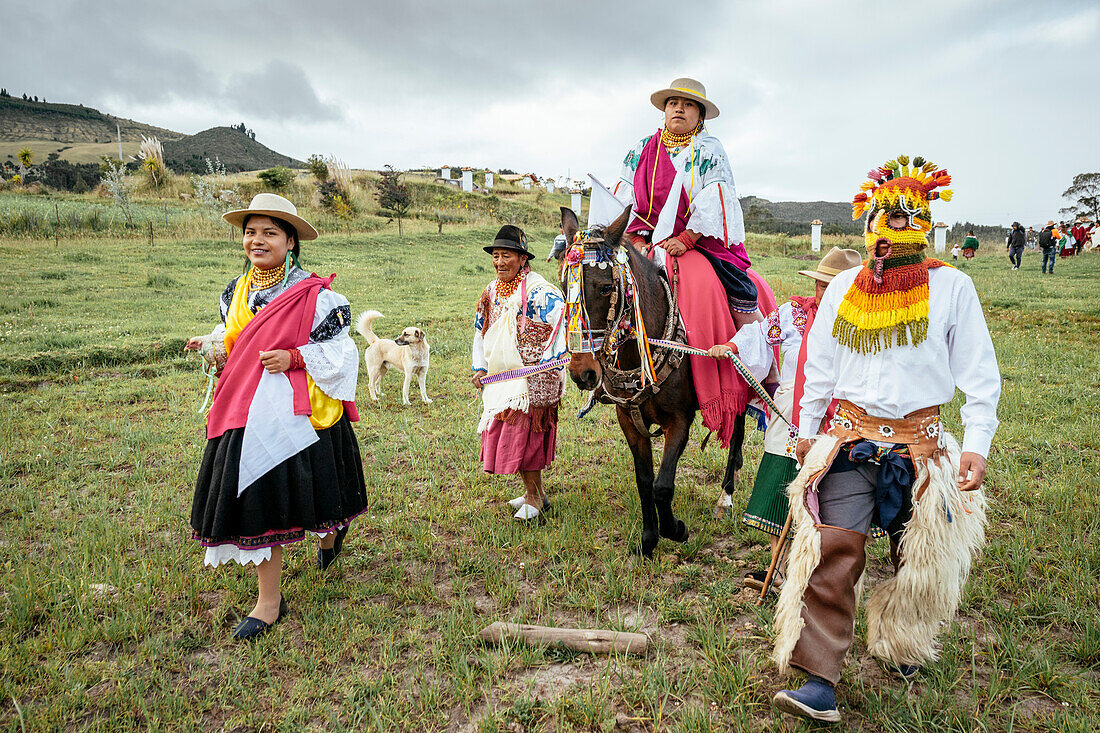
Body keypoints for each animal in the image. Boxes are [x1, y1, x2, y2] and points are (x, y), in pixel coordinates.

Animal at [563, 208, 752, 556]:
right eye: (563, 285)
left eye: (606, 288)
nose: (583, 373)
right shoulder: (629, 420)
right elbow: (644, 481)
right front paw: (649, 539)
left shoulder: (679, 420)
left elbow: (663, 485)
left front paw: (675, 529)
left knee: (737, 433)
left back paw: (726, 496)